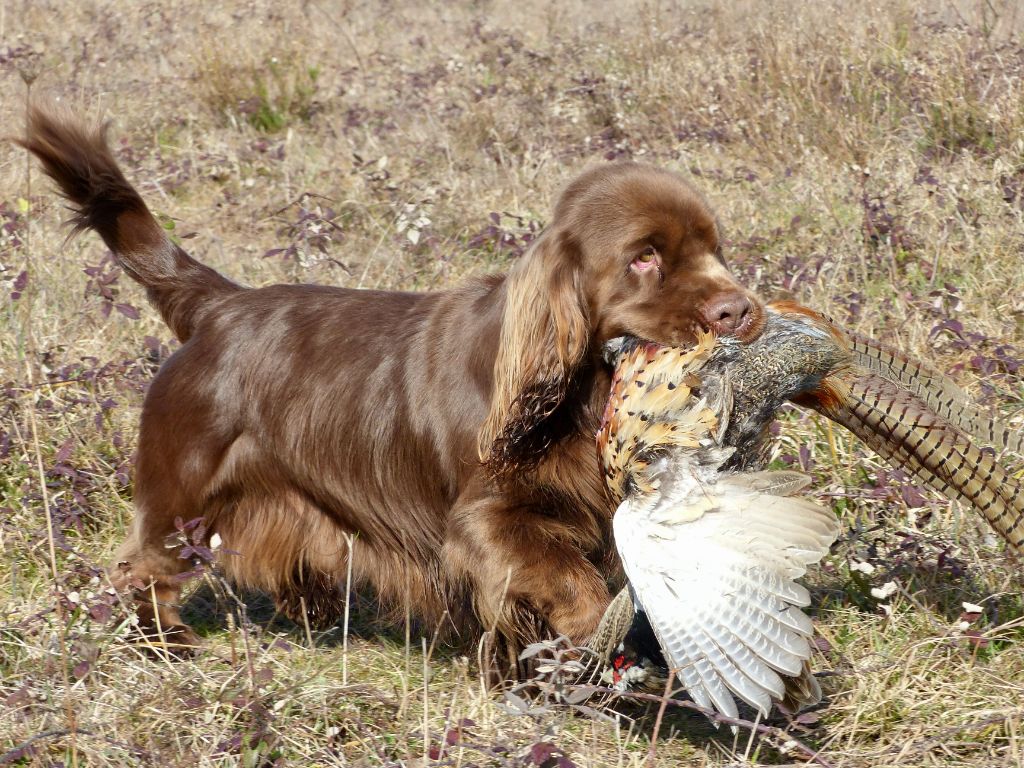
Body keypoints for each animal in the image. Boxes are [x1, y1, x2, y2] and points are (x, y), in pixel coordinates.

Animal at [22, 105, 761, 671]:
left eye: (715, 249)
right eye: (644, 257)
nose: (740, 311)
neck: (574, 396)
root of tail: (218, 306)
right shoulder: (485, 521)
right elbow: (571, 583)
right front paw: (595, 642)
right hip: (181, 493)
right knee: (144, 568)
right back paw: (163, 643)